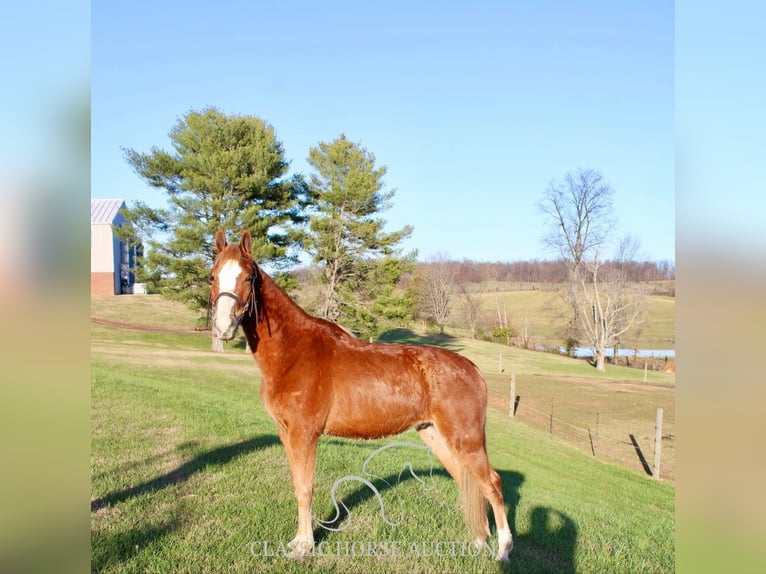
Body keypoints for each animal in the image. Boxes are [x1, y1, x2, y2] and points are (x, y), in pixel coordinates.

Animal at [208, 228, 516, 564]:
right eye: (213, 275)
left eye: (249, 277)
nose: (223, 327)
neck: (293, 351)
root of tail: (473, 370)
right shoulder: (286, 433)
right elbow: (297, 485)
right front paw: (298, 541)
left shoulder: (305, 434)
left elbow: (306, 487)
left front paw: (304, 546)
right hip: (436, 436)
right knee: (468, 482)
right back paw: (478, 543)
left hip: (466, 440)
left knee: (492, 483)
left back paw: (502, 550)